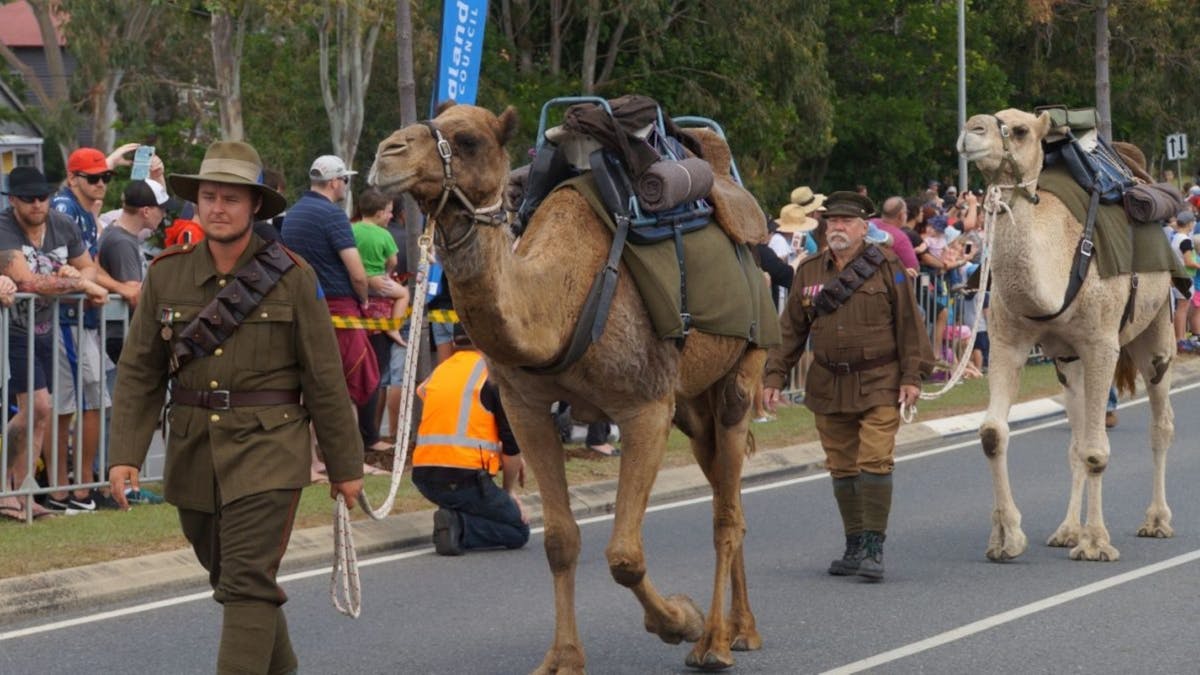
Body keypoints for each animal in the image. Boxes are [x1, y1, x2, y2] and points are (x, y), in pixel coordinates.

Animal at [369, 103, 767, 673]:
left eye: (467, 140)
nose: (386, 155)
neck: (559, 300)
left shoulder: (645, 406)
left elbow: (624, 555)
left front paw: (679, 621)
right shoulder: (525, 406)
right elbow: (559, 540)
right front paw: (563, 659)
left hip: (743, 371)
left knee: (726, 513)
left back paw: (715, 641)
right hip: (693, 405)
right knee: (724, 490)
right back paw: (742, 629)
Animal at [956, 108, 1175, 563]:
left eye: (1020, 130)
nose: (971, 129)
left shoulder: (1101, 345)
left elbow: (1096, 450)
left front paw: (1096, 545)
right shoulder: (1007, 342)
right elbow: (992, 434)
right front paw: (1006, 538)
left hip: (1157, 327)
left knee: (1159, 422)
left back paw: (1156, 521)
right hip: (1065, 360)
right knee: (1076, 437)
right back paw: (1067, 530)